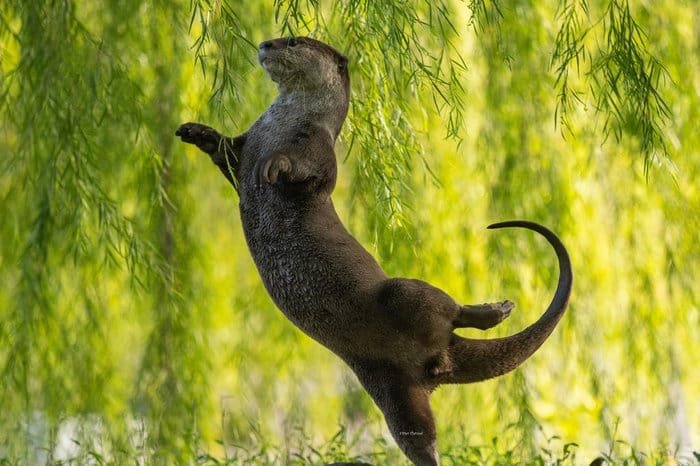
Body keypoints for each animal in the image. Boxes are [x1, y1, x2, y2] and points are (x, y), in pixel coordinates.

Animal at [174, 37, 568, 466]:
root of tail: (442, 356)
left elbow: (303, 171)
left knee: (448, 309)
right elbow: (224, 151)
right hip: (389, 387)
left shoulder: (318, 150)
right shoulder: (246, 144)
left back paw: (496, 310)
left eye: (293, 40)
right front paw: (195, 130)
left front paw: (274, 166)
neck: (282, 124)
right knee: (418, 435)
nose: (265, 43)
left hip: (401, 294)